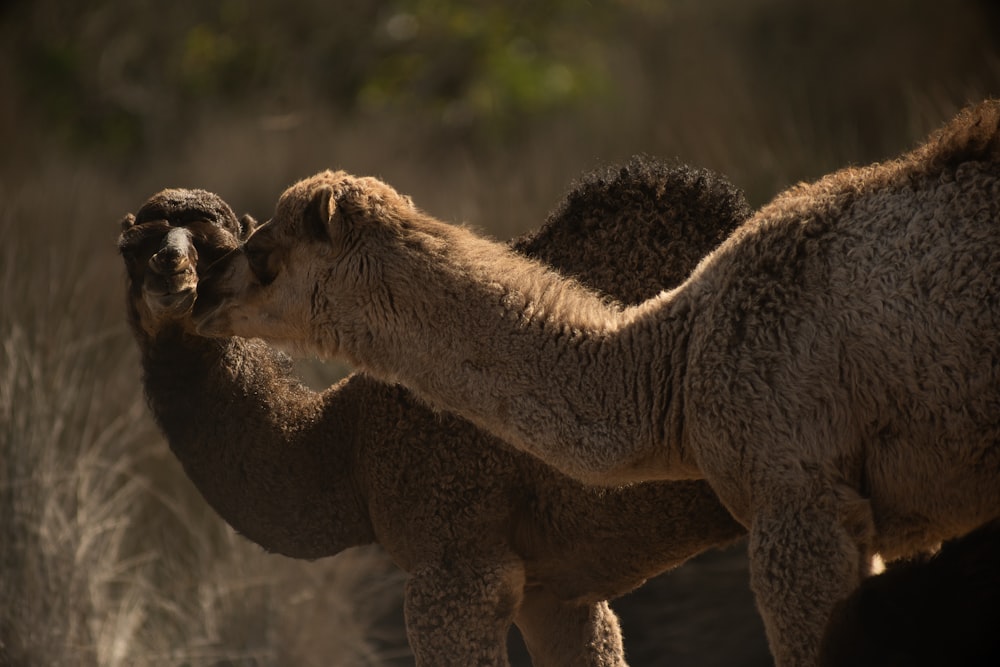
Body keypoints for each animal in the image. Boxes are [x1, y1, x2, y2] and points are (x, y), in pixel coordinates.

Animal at [119, 160, 756, 667]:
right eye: (132, 250)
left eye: (228, 245)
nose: (181, 281)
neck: (348, 446)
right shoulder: (557, 592)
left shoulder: (456, 567)